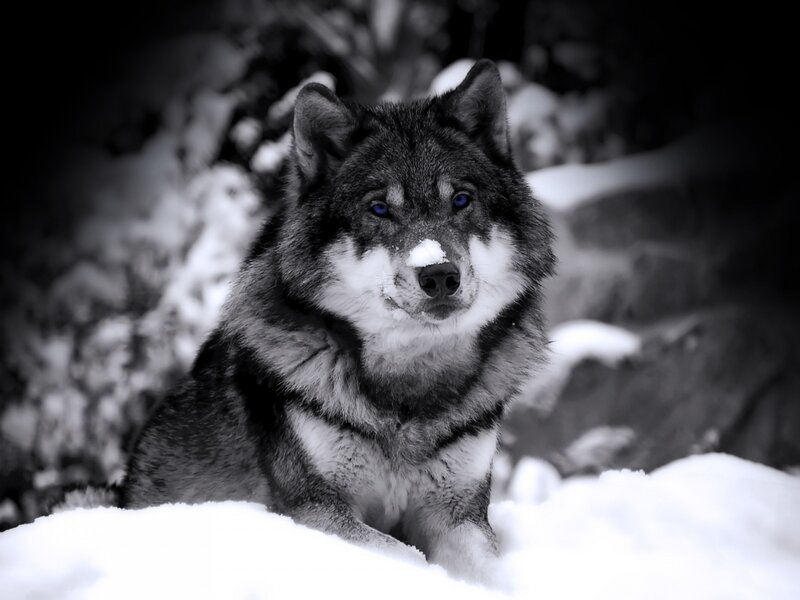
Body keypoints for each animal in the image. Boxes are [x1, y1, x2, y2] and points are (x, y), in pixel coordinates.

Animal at [121, 59, 554, 583]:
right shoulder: (314, 509)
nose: (438, 274)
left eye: (461, 201)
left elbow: (490, 571)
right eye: (379, 209)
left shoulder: (459, 514)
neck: (409, 392)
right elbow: (402, 555)